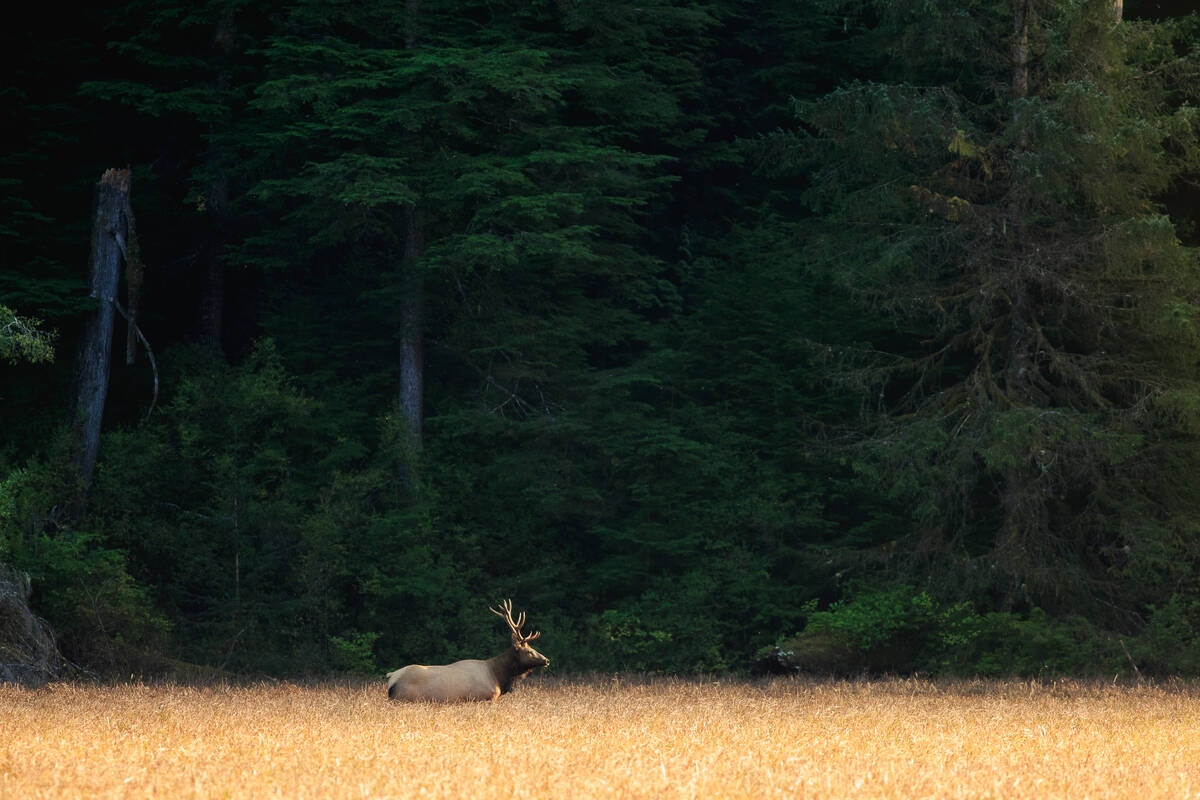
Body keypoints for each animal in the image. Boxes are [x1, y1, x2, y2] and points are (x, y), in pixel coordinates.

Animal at [386, 599, 550, 702]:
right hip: (405, 699)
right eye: (529, 651)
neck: (498, 676)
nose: (547, 660)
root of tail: (392, 677)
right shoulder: (483, 698)